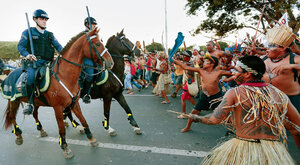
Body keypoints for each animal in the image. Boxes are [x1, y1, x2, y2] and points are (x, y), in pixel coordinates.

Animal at [2, 28, 113, 159]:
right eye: (97, 44)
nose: (111, 62)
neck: (64, 75)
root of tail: (9, 73)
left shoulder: (74, 103)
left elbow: (83, 120)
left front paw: (91, 138)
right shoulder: (58, 108)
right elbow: (62, 129)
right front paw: (65, 147)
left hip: (35, 102)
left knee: (34, 114)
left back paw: (41, 130)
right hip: (13, 100)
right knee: (12, 116)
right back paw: (18, 135)